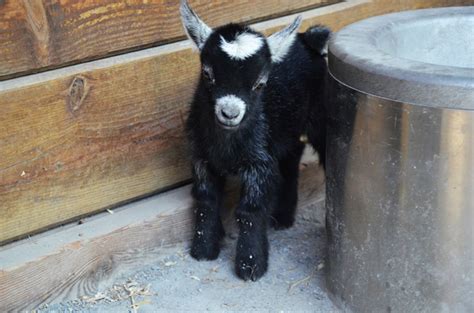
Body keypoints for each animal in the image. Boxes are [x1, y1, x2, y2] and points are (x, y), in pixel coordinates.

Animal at [180, 0, 332, 280]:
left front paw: (251, 266)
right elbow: (206, 199)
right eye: (208, 74)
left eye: (260, 84)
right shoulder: (201, 156)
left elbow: (250, 208)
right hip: (285, 132)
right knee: (290, 162)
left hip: (320, 115)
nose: (229, 113)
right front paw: (203, 249)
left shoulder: (259, 162)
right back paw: (283, 218)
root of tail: (308, 39)